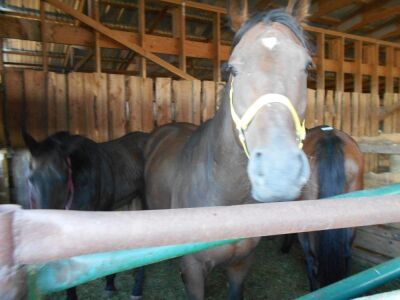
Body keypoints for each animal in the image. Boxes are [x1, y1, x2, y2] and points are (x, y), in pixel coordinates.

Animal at [144, 1, 312, 298]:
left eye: (307, 66)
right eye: (231, 68)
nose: (279, 173)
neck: (226, 198)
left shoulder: (241, 265)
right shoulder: (194, 270)